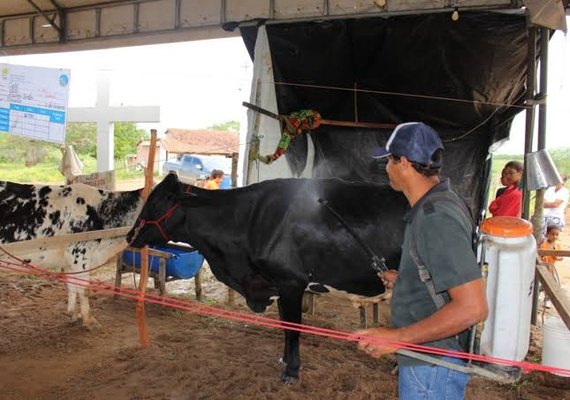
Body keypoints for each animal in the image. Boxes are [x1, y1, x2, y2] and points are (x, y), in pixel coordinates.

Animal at [0, 180, 142, 326]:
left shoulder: (69, 262)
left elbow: (72, 285)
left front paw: (73, 314)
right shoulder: (79, 254)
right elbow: (84, 288)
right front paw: (89, 320)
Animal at [126, 173, 406, 382]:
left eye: (157, 202)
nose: (130, 236)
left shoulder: (291, 282)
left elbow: (293, 328)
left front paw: (291, 372)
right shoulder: (278, 285)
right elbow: (285, 326)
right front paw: (284, 360)